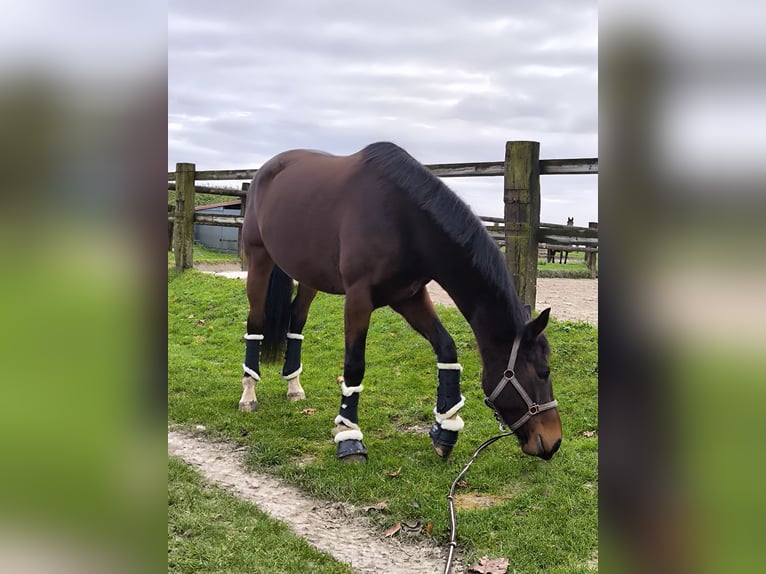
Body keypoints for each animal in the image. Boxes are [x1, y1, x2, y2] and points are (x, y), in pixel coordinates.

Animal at [240, 143, 564, 464]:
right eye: (543, 371)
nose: (554, 441)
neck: (403, 219)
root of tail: (266, 170)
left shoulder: (409, 297)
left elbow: (446, 348)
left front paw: (445, 431)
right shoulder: (358, 298)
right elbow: (354, 366)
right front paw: (349, 438)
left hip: (309, 275)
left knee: (296, 319)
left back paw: (293, 386)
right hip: (259, 260)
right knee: (255, 321)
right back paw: (248, 394)